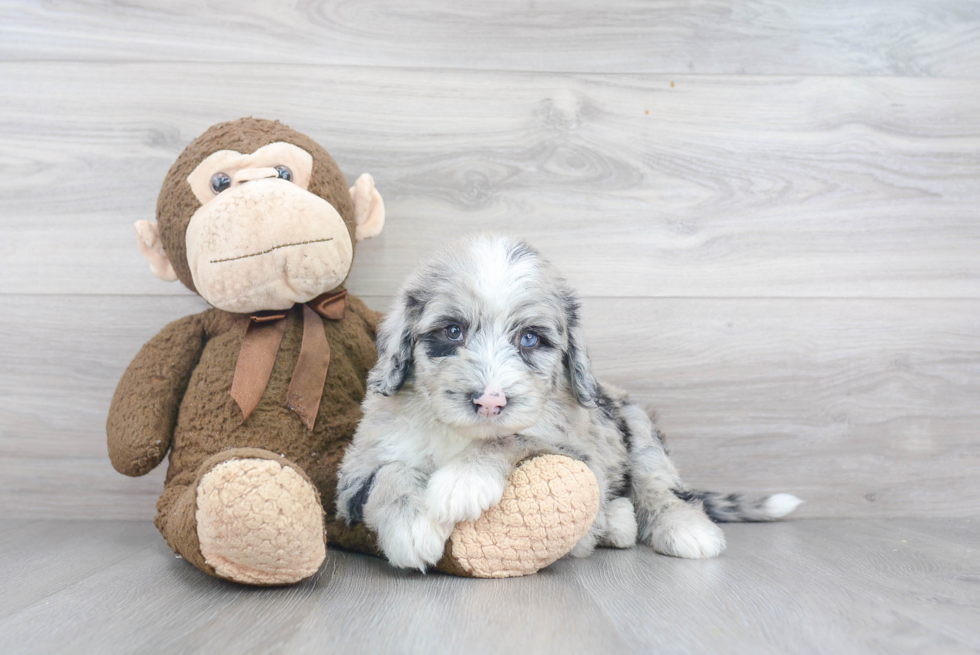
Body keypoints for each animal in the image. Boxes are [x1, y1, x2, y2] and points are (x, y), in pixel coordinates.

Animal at [334, 234, 796, 568]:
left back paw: (679, 529)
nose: (490, 402)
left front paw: (463, 480)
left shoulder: (578, 452)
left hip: (639, 427)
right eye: (452, 331)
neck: (461, 433)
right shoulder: (354, 471)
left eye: (529, 338)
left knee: (661, 488)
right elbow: (388, 475)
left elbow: (514, 438)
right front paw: (413, 528)